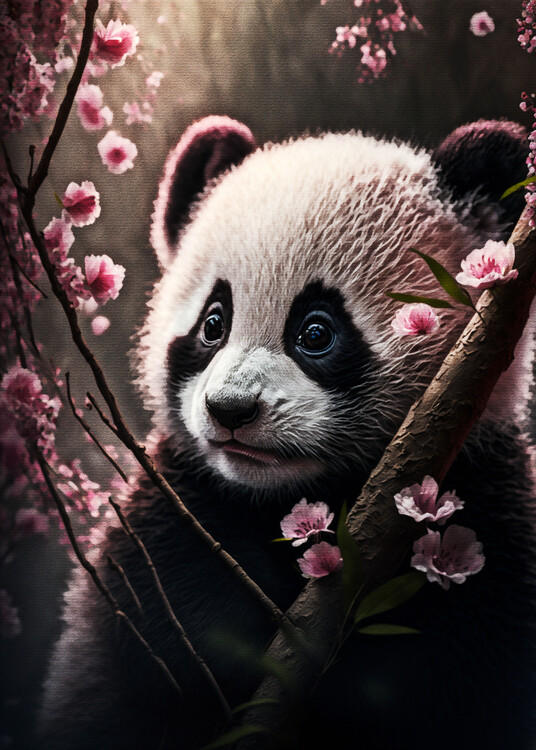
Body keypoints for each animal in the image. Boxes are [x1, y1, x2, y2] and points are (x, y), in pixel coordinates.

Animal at [39, 116, 536, 750]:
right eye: (213, 323)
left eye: (316, 332)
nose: (230, 410)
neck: (286, 496)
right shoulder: (182, 505)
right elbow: (155, 629)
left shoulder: (487, 505)